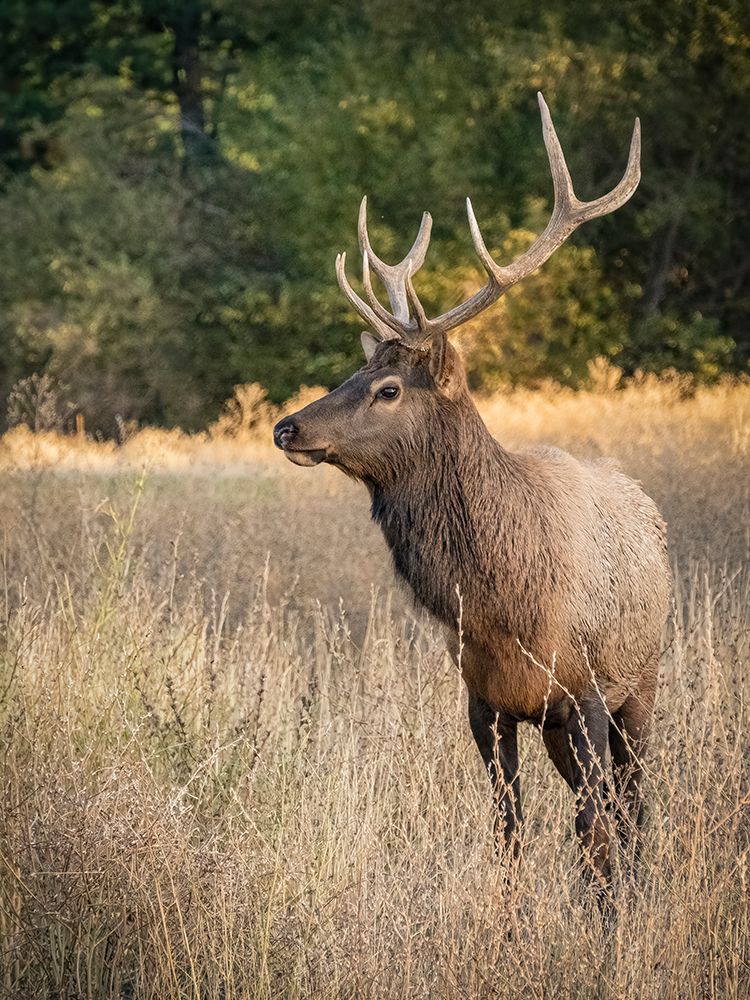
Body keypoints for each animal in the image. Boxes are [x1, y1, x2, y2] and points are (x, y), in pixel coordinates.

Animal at [273, 94, 671, 897]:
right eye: (355, 372)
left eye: (390, 389)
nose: (287, 425)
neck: (501, 604)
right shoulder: (485, 701)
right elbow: (509, 831)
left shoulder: (585, 689)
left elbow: (593, 831)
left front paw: (605, 915)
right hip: (558, 724)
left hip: (642, 682)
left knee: (632, 807)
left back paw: (636, 888)